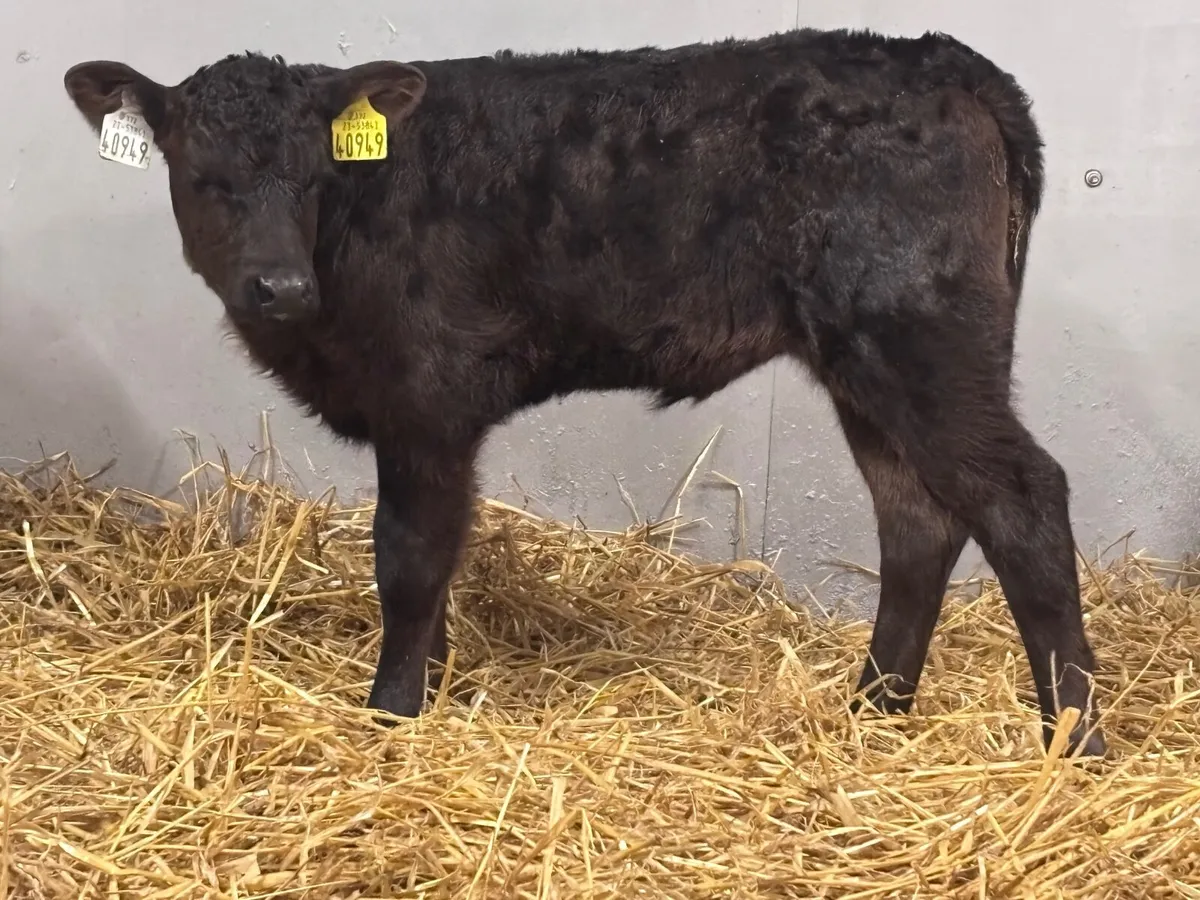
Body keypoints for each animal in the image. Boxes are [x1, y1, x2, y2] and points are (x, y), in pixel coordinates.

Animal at [63, 27, 1106, 756]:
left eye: (317, 173)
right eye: (204, 176)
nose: (279, 286)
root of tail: (944, 59)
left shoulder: (427, 394)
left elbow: (409, 558)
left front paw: (393, 712)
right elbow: (441, 555)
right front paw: (430, 682)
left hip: (919, 337)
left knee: (1022, 501)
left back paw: (1075, 744)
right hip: (869, 359)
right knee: (916, 519)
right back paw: (873, 710)